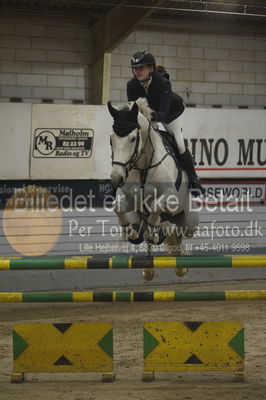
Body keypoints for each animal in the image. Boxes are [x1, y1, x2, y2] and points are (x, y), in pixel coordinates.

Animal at [107, 98, 198, 280]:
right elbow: (117, 207)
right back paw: (149, 268)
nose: (116, 178)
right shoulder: (130, 198)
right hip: (139, 216)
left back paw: (180, 262)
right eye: (111, 139)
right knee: (155, 235)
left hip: (189, 221)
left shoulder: (170, 197)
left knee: (180, 234)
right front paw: (128, 232)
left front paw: (153, 232)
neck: (143, 166)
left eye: (133, 138)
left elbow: (156, 206)